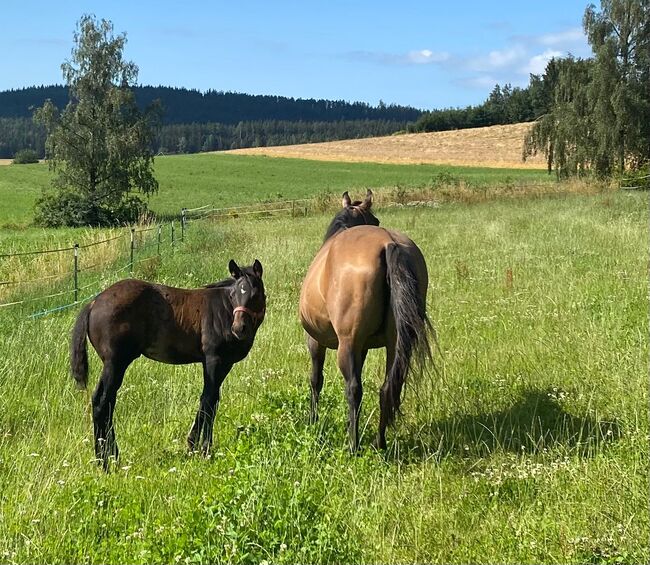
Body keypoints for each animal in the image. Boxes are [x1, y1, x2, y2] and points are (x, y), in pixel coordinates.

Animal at [69, 258, 264, 468]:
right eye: (234, 295)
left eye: (254, 294)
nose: (238, 328)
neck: (224, 311)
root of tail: (93, 303)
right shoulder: (214, 359)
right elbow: (209, 400)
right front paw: (203, 449)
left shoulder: (224, 363)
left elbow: (210, 400)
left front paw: (195, 445)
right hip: (115, 362)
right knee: (101, 402)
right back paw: (104, 462)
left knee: (108, 402)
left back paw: (112, 456)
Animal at [298, 192, 430, 452]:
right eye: (376, 219)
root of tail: (389, 244)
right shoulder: (365, 347)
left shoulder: (316, 341)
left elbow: (316, 381)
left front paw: (313, 420)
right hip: (395, 343)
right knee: (388, 388)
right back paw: (380, 443)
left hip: (347, 344)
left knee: (354, 390)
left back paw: (354, 445)